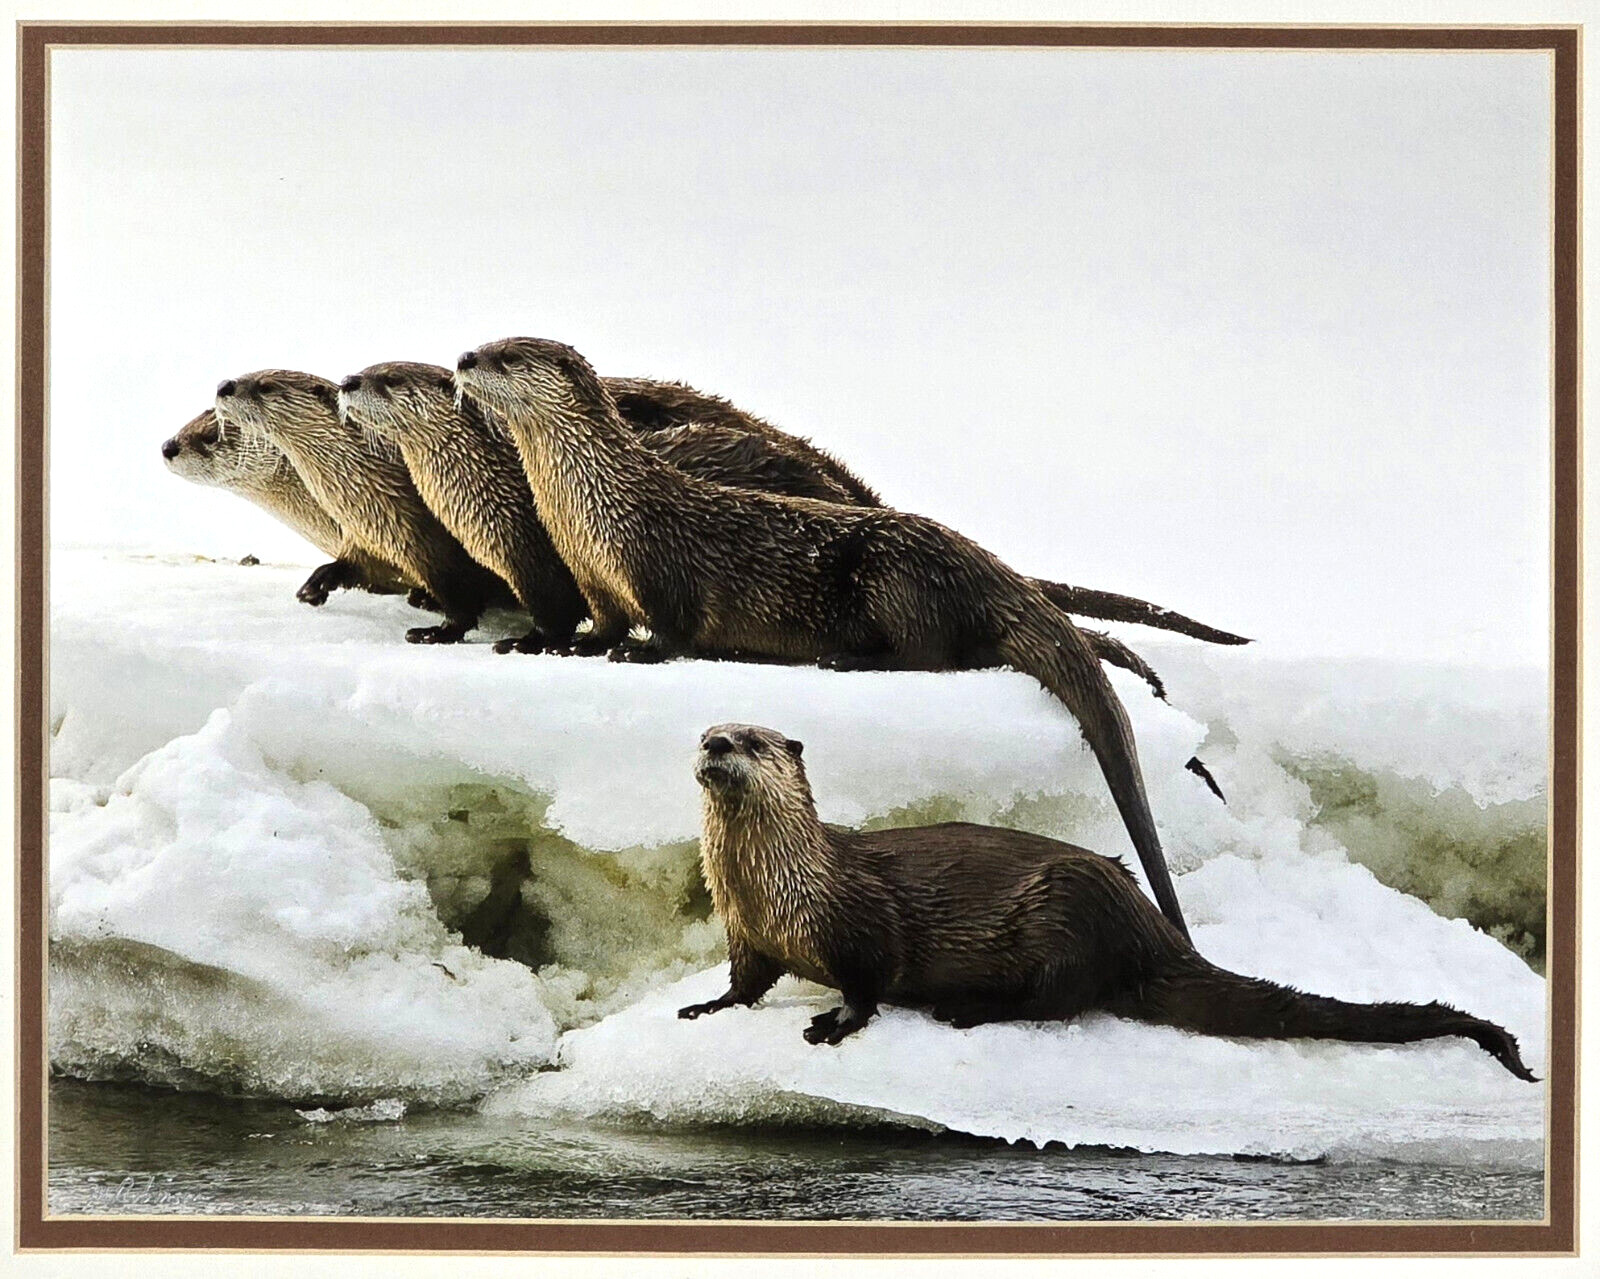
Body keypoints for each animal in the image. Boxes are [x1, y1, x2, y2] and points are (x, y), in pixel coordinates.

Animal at [212, 371, 512, 643]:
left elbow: (463, 605)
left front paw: (436, 632)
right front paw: (316, 584)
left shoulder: (445, 554)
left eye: (264, 386)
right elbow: (358, 564)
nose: (224, 385)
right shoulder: (375, 539)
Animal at [455, 337, 1192, 937]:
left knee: (931, 653)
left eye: (508, 357)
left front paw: (638, 650)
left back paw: (848, 657)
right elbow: (602, 619)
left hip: (894, 572)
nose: (463, 359)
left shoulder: (661, 563)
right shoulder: (594, 578)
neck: (589, 506)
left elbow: (673, 626)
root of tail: (986, 566)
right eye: (486, 346)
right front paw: (572, 643)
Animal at [679, 723, 1535, 1082]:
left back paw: (969, 1008)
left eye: (753, 740)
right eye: (709, 731)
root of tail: (1152, 929)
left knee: (1061, 996)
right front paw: (707, 1006)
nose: (716, 745)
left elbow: (872, 978)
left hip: (1067, 914)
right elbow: (745, 980)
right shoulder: (746, 931)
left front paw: (833, 1022)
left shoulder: (858, 918)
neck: (775, 885)